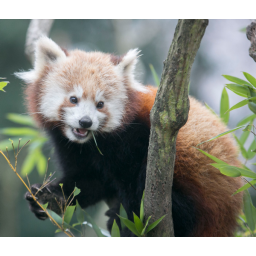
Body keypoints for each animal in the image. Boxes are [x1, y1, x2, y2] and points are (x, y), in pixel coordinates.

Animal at [15, 36, 243, 236]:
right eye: (73, 99)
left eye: (100, 104)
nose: (85, 122)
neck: (94, 142)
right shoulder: (73, 147)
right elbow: (88, 181)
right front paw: (51, 196)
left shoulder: (137, 138)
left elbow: (132, 183)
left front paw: (129, 221)